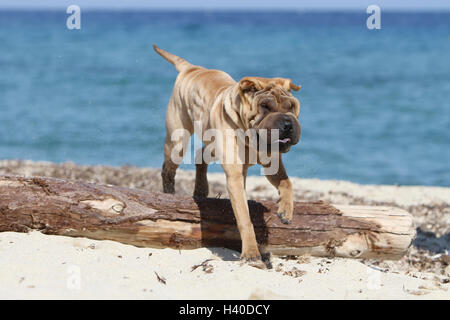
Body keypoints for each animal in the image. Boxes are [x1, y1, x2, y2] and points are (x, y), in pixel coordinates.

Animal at [153, 45, 300, 264]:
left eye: (291, 107)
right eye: (265, 107)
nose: (288, 124)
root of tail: (192, 68)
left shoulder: (273, 165)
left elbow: (287, 183)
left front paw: (286, 210)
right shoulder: (235, 177)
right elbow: (245, 219)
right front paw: (251, 253)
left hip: (211, 143)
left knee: (200, 156)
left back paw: (200, 190)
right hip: (177, 141)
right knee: (168, 168)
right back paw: (169, 192)